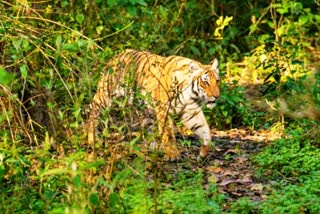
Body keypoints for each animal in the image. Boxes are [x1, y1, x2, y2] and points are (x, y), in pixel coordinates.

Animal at [87, 48, 220, 159]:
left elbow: (205, 130)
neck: (191, 94)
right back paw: (92, 140)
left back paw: (152, 146)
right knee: (93, 114)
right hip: (104, 97)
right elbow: (168, 134)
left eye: (217, 81)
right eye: (205, 82)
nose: (217, 96)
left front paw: (203, 151)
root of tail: (115, 56)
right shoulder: (164, 109)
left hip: (144, 109)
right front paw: (172, 155)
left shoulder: (190, 111)